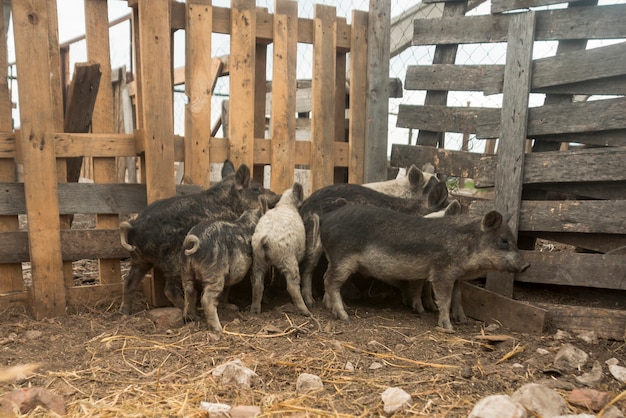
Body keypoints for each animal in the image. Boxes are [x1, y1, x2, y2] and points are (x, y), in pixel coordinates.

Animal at [117, 162, 278, 316]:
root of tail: (134, 226)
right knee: (169, 289)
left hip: (139, 260)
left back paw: (125, 312)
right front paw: (232, 306)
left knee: (129, 282)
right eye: (256, 189)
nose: (277, 196)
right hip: (173, 261)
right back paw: (187, 310)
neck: (231, 202)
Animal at [247, 183, 308, 316]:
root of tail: (265, 239)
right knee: (292, 286)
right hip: (289, 260)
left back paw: (255, 310)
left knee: (257, 285)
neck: (286, 204)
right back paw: (306, 311)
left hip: (258, 260)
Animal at [316, 206, 528, 334]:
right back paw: (345, 317)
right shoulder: (442, 273)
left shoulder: (456, 277)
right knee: (329, 281)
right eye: (504, 241)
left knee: (328, 279)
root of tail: (325, 218)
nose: (527, 265)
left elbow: (458, 297)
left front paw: (463, 321)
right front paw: (449, 328)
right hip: (343, 259)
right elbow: (445, 299)